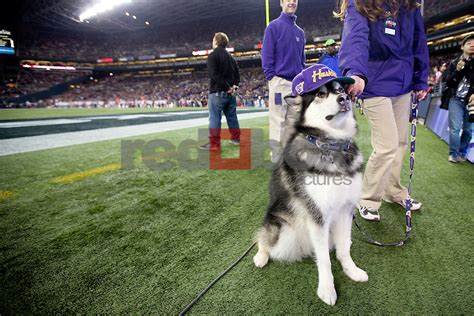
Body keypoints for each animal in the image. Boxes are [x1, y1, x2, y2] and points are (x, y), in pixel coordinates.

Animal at [254, 65, 368, 306]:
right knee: (264, 238)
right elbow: (324, 260)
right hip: (280, 228)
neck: (332, 146)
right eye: (320, 94)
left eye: (340, 90)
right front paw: (327, 289)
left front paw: (352, 271)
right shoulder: (318, 215)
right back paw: (261, 255)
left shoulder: (345, 210)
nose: (345, 99)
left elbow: (343, 249)